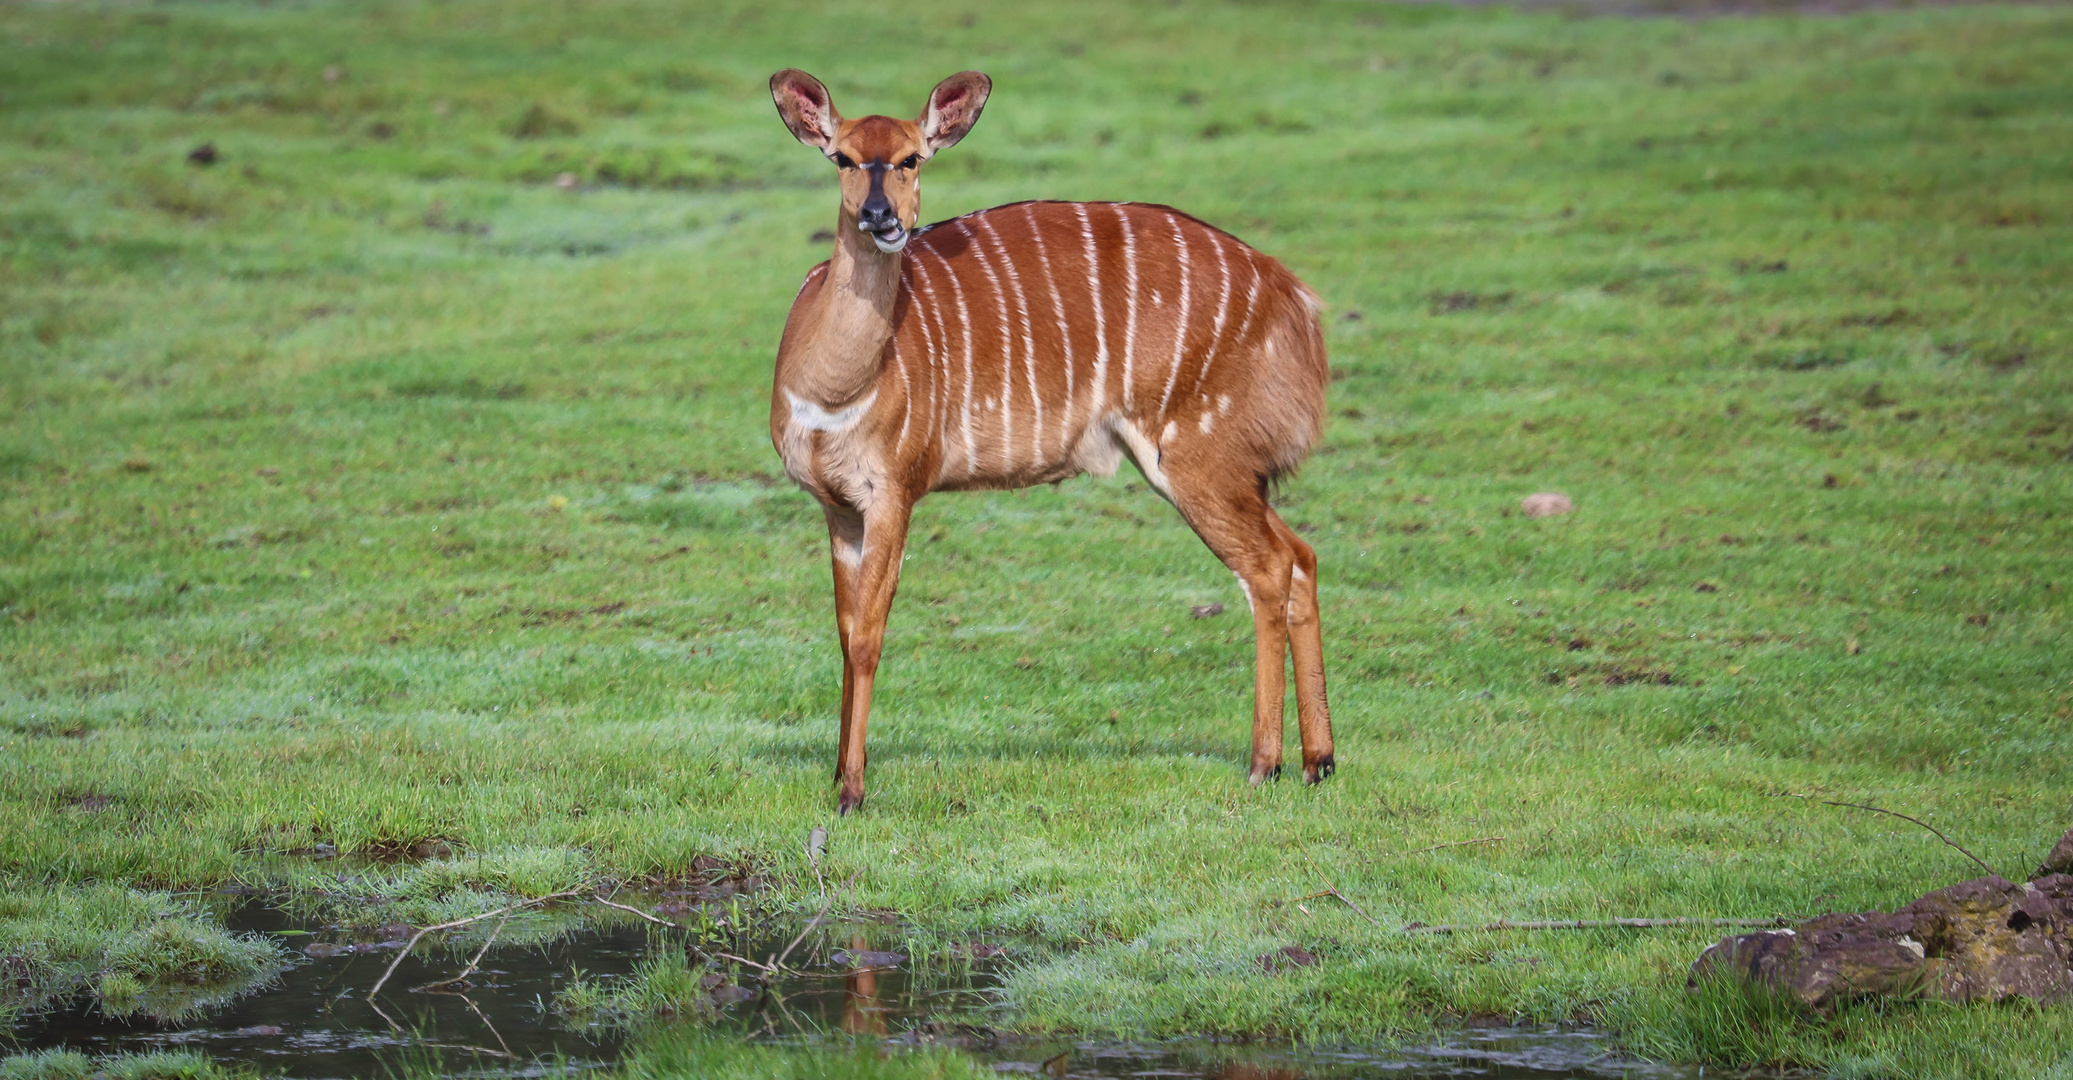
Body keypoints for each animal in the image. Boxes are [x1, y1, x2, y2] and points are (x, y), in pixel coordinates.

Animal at [771, 69, 1335, 808]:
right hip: (1232, 467)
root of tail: (1294, 297)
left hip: (1198, 456)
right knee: (1300, 555)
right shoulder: (836, 506)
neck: (832, 390)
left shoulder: (894, 491)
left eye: (911, 158)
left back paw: (1264, 763)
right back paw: (1319, 760)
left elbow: (868, 634)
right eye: (840, 156)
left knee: (1266, 569)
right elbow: (842, 632)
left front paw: (852, 792)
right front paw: (839, 775)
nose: (881, 218)